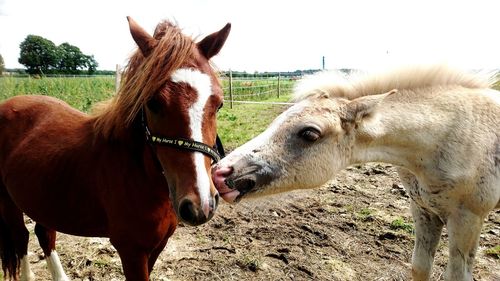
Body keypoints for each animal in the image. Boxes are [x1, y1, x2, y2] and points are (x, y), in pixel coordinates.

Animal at [0, 16, 230, 278]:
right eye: (153, 103)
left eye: (219, 104)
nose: (200, 205)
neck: (137, 171)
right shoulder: (131, 250)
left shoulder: (157, 246)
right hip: (8, 201)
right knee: (21, 237)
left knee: (44, 233)